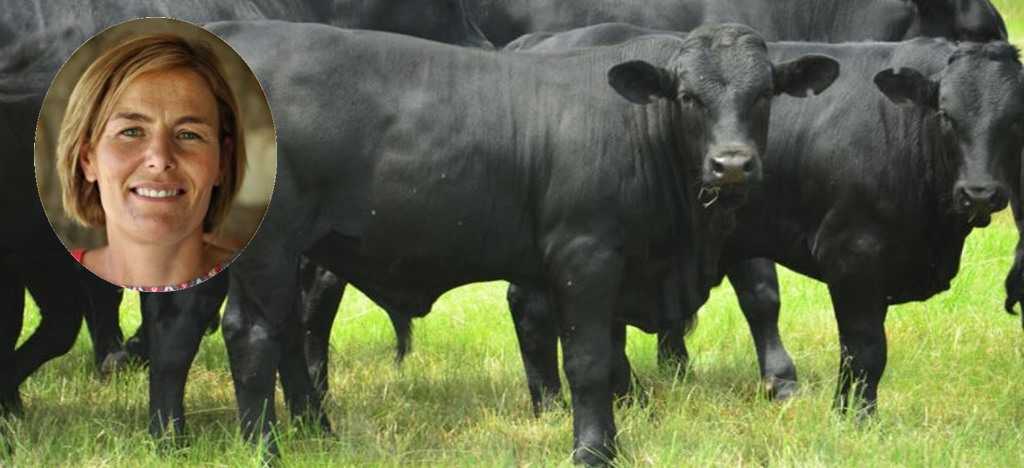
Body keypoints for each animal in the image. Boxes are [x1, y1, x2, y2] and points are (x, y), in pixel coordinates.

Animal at [195, 21, 839, 464]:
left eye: (764, 94)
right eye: (688, 97)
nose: (731, 165)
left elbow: (611, 357)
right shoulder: (585, 254)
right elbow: (589, 362)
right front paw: (593, 451)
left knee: (289, 329)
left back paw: (317, 432)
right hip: (269, 246)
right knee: (253, 336)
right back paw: (266, 450)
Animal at [505, 24, 1024, 417]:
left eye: (1015, 121)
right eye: (946, 115)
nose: (979, 192)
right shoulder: (852, 254)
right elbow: (865, 350)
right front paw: (854, 417)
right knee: (534, 310)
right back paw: (554, 404)